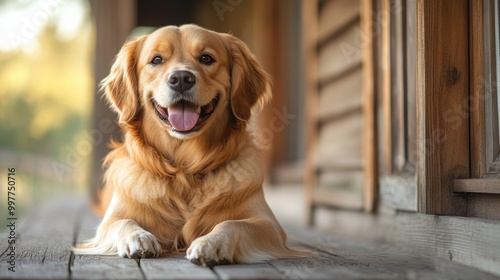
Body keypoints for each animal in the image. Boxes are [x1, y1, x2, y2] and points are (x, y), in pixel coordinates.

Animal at [73, 24, 302, 266]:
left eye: (206, 58)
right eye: (156, 60)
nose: (181, 78)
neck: (185, 169)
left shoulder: (270, 225)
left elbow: (233, 223)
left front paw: (211, 243)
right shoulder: (110, 221)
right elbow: (121, 222)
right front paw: (138, 238)